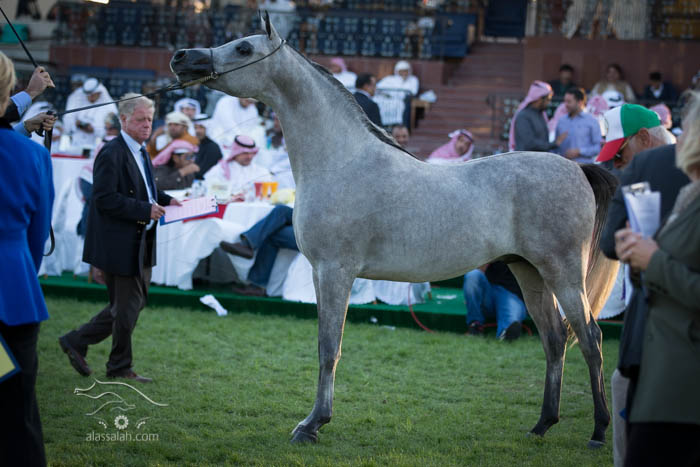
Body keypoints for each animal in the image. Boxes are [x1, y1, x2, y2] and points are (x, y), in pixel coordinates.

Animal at [170, 13, 620, 447]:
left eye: (244, 48)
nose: (182, 57)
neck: (341, 160)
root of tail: (577, 168)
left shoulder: (334, 271)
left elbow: (328, 348)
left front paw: (312, 425)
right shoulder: (321, 273)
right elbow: (327, 346)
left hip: (562, 273)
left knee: (590, 338)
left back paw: (599, 431)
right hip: (529, 272)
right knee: (555, 341)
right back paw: (542, 425)